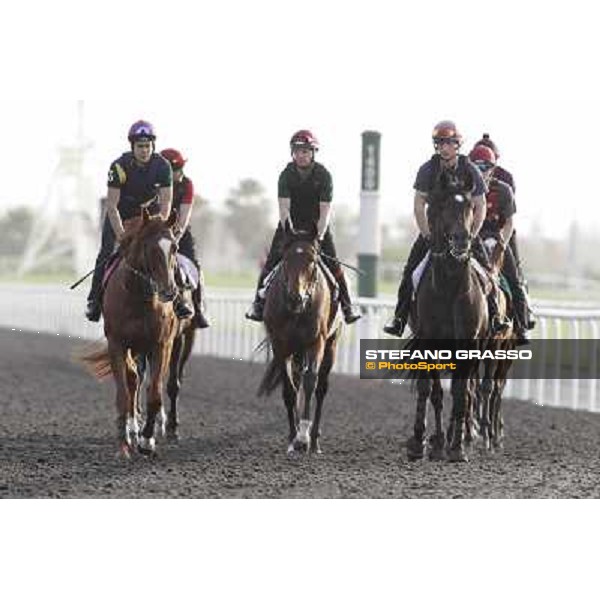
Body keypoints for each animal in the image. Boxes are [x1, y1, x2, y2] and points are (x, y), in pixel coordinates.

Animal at [78, 209, 180, 458]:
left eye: (174, 247)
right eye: (150, 248)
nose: (169, 291)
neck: (137, 297)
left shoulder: (160, 344)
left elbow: (154, 393)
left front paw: (147, 440)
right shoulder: (117, 344)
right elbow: (124, 393)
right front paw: (124, 441)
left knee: (149, 381)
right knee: (133, 379)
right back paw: (131, 428)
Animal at [258, 224, 342, 454]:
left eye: (312, 260)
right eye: (286, 259)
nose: (296, 298)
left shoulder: (317, 342)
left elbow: (310, 381)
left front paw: (303, 436)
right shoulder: (280, 345)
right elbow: (289, 390)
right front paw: (293, 436)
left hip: (331, 345)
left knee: (321, 388)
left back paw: (314, 440)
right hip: (296, 351)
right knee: (296, 381)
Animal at [408, 171, 492, 462]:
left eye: (469, 206)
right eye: (443, 205)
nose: (461, 240)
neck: (448, 286)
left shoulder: (468, 344)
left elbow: (460, 393)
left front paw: (456, 447)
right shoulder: (428, 341)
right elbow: (430, 390)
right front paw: (424, 442)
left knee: (467, 392)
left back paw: (463, 438)